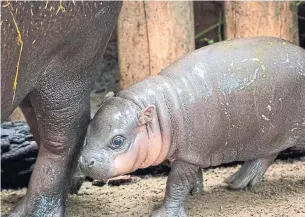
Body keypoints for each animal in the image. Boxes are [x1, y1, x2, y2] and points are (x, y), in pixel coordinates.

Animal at [79, 37, 304, 217]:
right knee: (267, 154)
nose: (85, 161)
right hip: (267, 134)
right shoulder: (187, 153)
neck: (161, 112)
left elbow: (176, 183)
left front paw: (163, 213)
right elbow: (191, 176)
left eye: (118, 140)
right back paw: (236, 183)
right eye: (87, 130)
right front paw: (195, 192)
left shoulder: (189, 155)